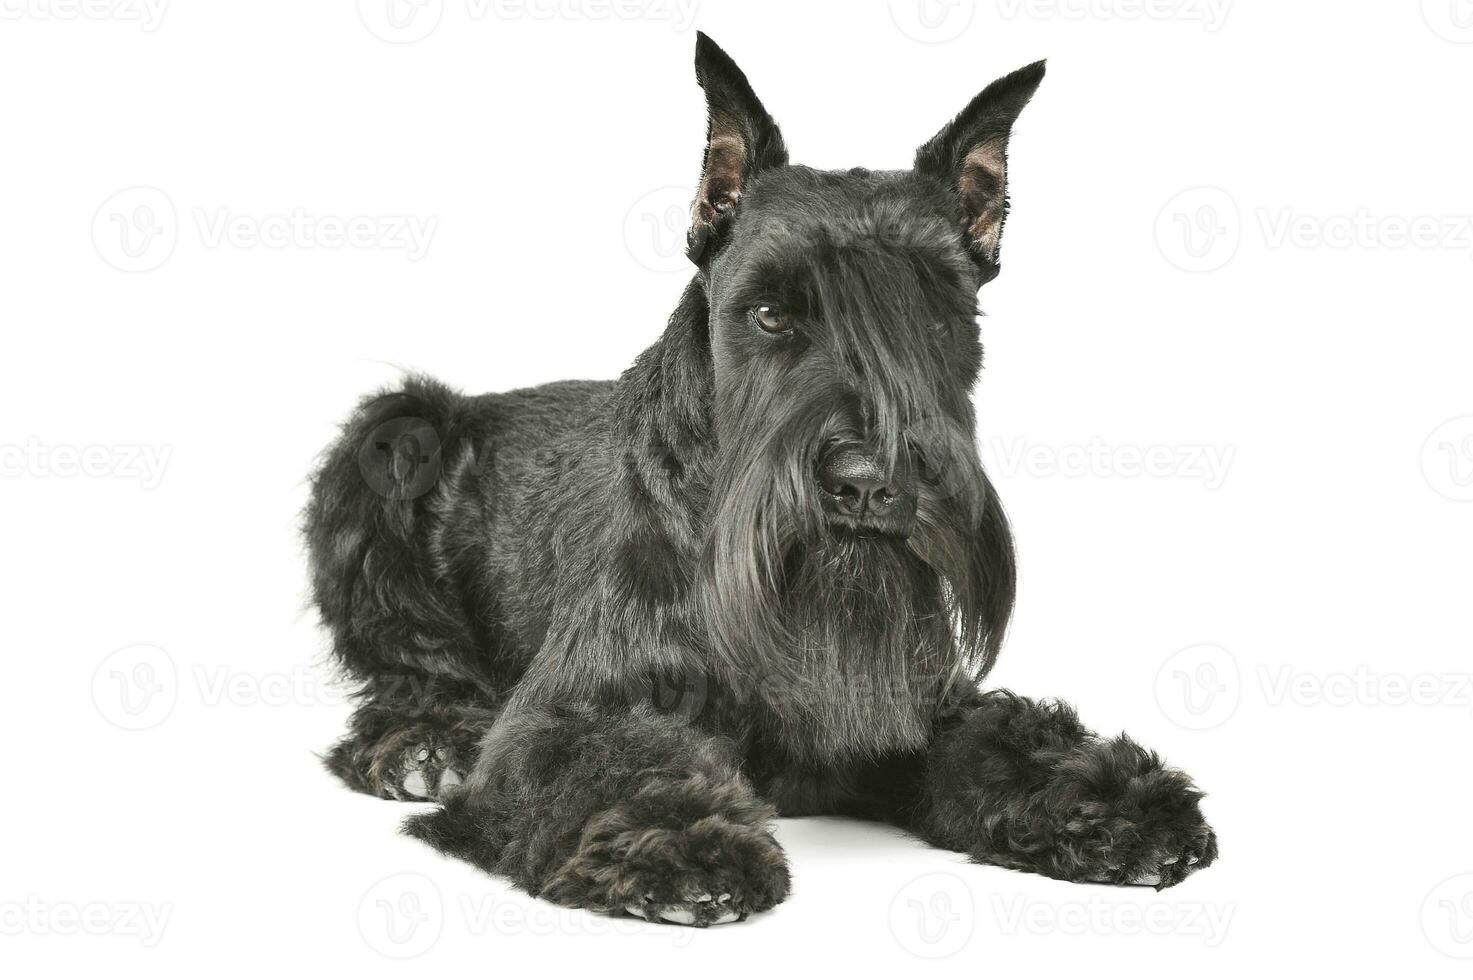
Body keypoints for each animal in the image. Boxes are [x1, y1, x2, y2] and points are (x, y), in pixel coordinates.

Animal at [304, 36, 1213, 925]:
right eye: (770, 314)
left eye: (935, 318)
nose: (868, 485)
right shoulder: (568, 711)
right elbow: (607, 757)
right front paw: (679, 843)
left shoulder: (919, 703)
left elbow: (1001, 738)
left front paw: (1120, 807)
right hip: (396, 435)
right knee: (411, 662)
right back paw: (423, 743)